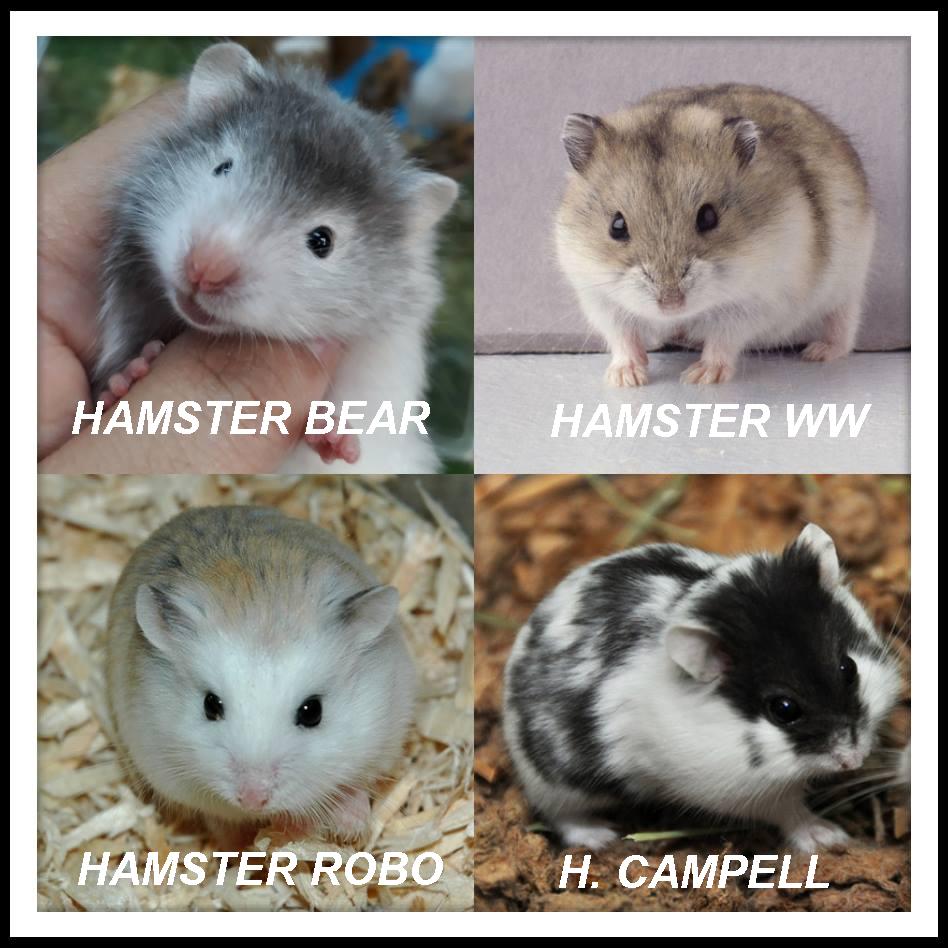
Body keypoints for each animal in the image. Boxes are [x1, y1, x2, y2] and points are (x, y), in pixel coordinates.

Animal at [503, 524, 902, 852]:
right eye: (783, 709)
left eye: (848, 669)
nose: (854, 760)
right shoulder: (743, 791)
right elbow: (789, 811)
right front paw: (831, 838)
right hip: (556, 785)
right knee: (562, 816)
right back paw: (601, 837)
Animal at [554, 84, 875, 386]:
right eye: (617, 226)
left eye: (708, 217)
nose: (671, 304)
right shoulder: (598, 299)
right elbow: (623, 338)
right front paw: (626, 379)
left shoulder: (753, 303)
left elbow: (723, 340)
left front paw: (700, 377)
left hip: (849, 282)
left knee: (844, 322)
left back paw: (819, 352)